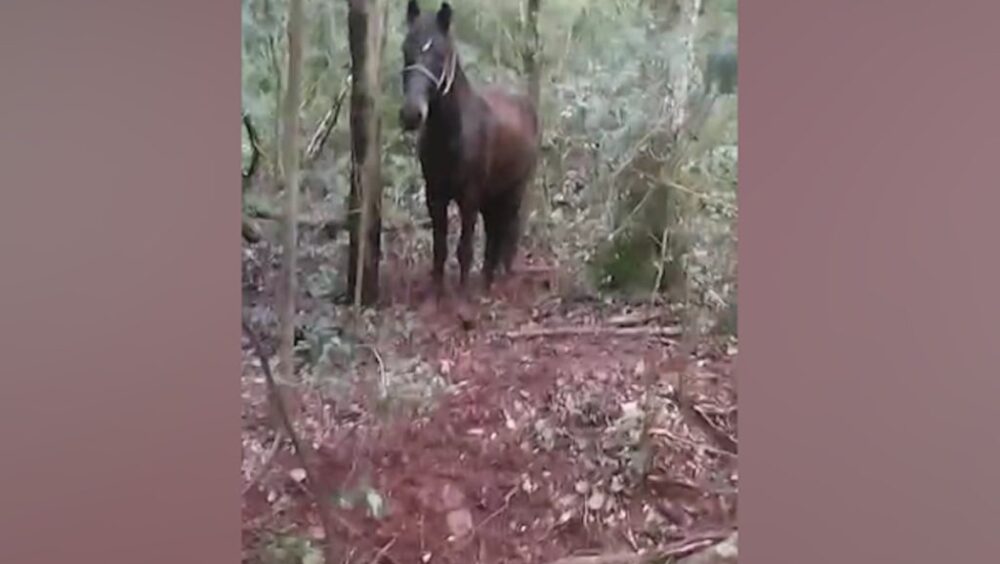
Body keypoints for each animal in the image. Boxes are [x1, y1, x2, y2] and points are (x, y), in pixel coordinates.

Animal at [399, 0, 540, 297]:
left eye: (440, 54)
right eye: (405, 49)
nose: (411, 114)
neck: (452, 135)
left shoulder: (469, 195)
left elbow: (464, 249)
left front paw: (463, 295)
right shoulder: (435, 195)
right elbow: (440, 248)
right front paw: (438, 292)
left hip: (513, 191)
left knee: (507, 234)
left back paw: (498, 280)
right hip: (492, 195)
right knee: (495, 236)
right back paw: (487, 280)